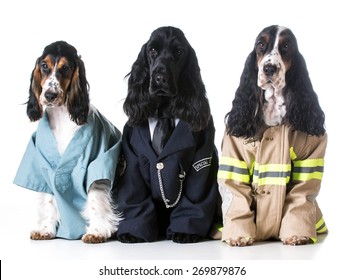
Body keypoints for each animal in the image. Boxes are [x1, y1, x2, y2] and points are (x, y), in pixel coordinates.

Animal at [117, 27, 219, 244]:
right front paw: (132, 232)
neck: (164, 110)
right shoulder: (131, 159)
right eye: (152, 50)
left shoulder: (202, 156)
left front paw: (185, 232)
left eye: (179, 52)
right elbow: (134, 196)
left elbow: (195, 196)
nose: (160, 77)